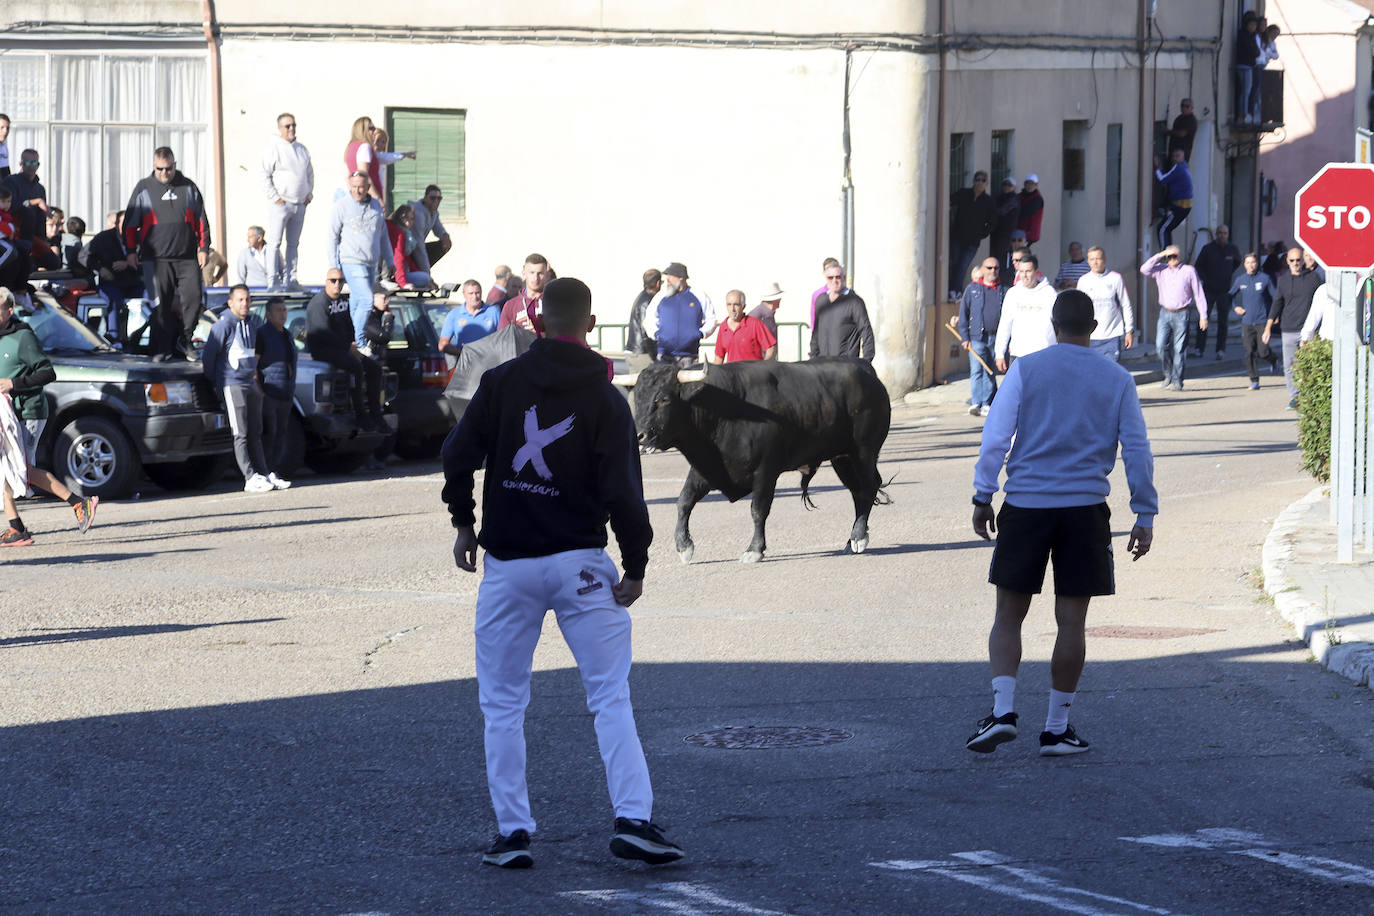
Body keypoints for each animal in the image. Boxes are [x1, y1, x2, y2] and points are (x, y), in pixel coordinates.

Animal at [629, 359, 895, 565]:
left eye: (663, 399)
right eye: (636, 398)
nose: (640, 435)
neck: (724, 407)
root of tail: (866, 370)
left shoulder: (766, 471)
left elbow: (758, 510)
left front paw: (754, 549)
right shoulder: (706, 468)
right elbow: (684, 501)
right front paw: (684, 546)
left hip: (864, 451)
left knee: (868, 487)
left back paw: (858, 537)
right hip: (843, 459)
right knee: (857, 492)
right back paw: (851, 541)